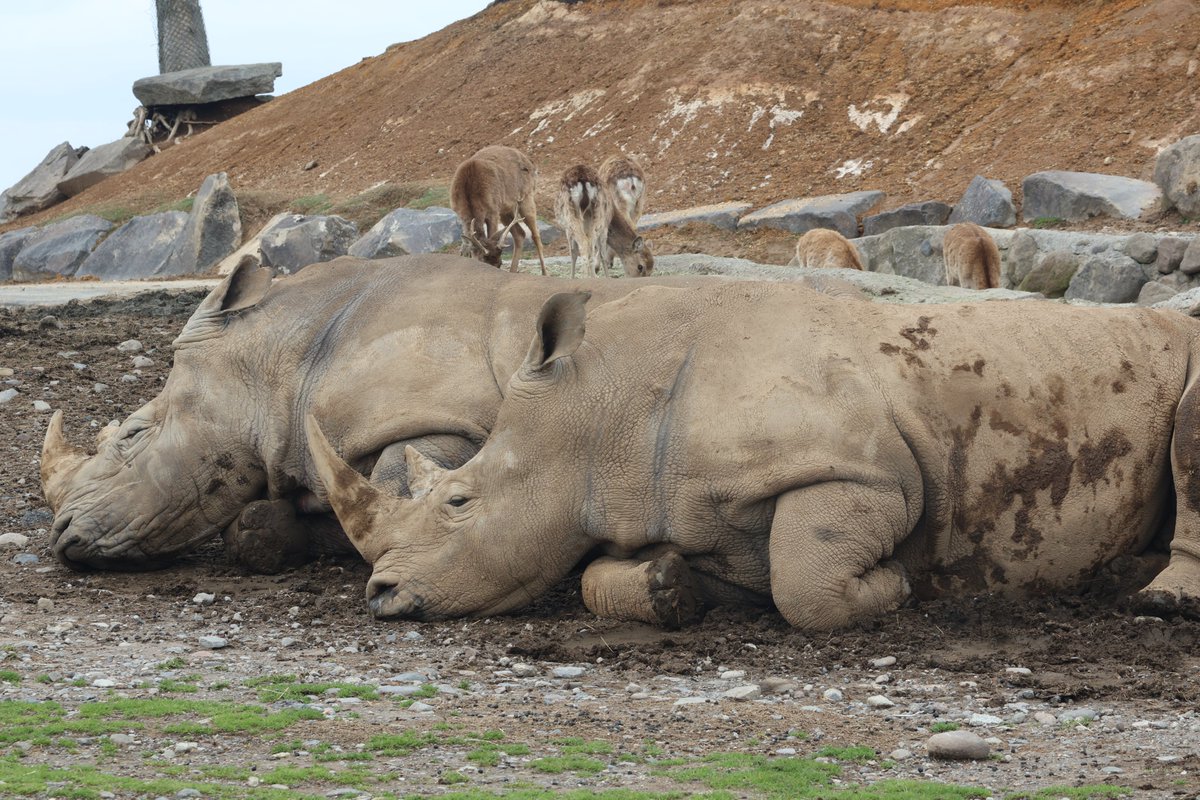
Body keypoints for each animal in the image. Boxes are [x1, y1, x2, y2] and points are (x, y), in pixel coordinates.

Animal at [451, 145, 549, 277]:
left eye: (500, 263)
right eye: (483, 262)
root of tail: (531, 163)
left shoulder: (493, 211)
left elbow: (491, 235)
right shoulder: (460, 214)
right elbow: (466, 245)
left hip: (527, 197)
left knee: (536, 235)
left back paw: (545, 273)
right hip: (506, 210)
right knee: (520, 233)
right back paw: (513, 270)